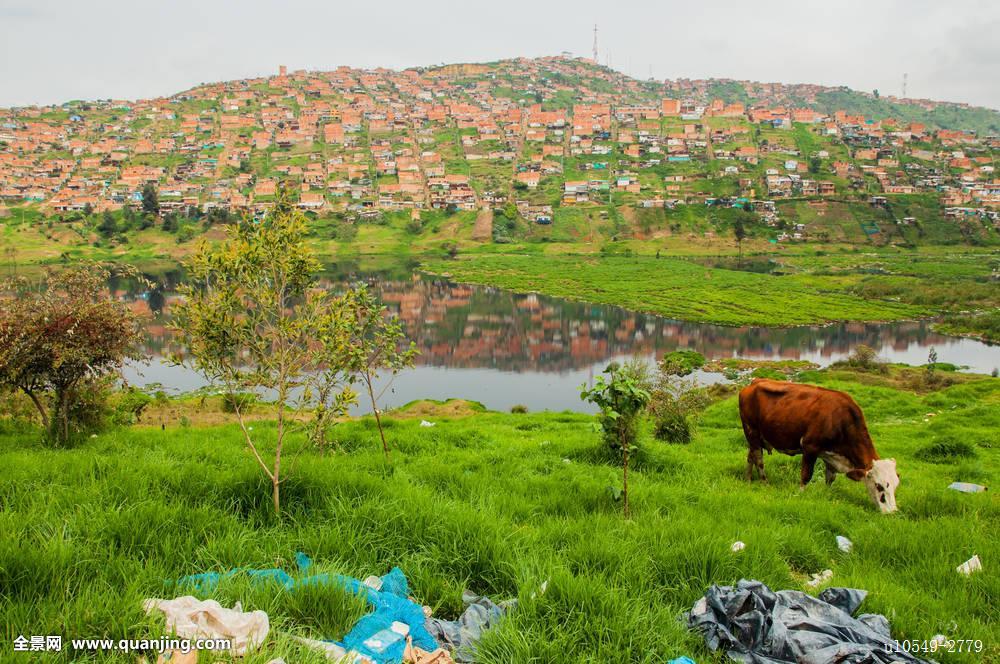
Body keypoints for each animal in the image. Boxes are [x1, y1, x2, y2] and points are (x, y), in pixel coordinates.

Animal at [736, 378, 900, 512]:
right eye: (879, 486)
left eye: (896, 485)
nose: (892, 512)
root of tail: (754, 382)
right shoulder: (810, 447)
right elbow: (806, 475)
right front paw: (800, 494)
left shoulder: (831, 455)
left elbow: (830, 478)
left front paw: (827, 494)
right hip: (752, 430)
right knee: (759, 460)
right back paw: (765, 483)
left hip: (754, 437)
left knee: (750, 457)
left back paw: (748, 479)